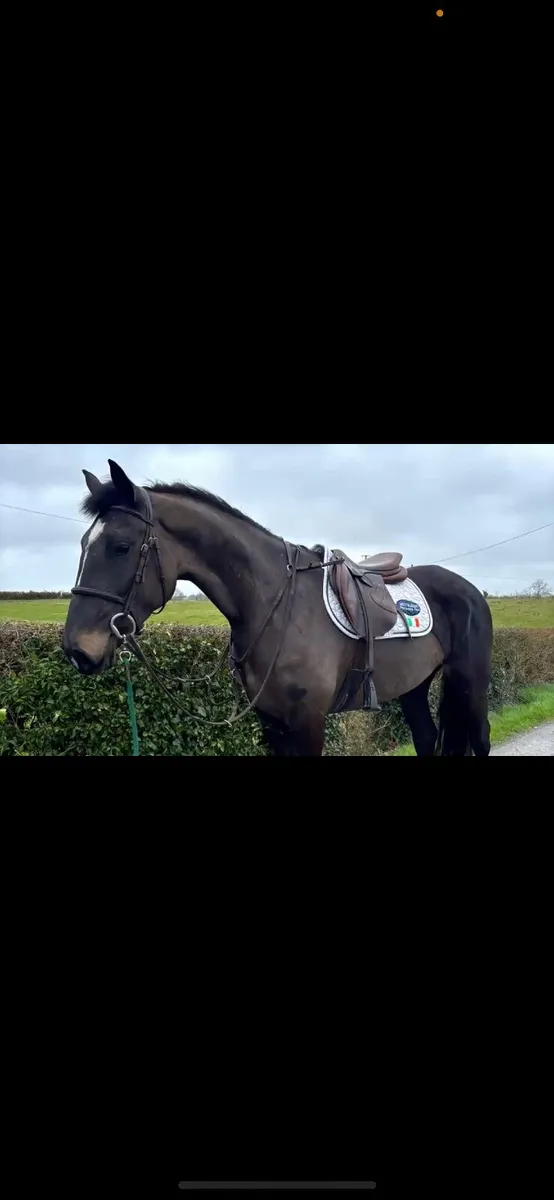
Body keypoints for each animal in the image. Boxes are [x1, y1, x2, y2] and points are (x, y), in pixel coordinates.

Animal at [62, 459, 493, 756]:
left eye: (121, 547)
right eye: (82, 544)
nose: (77, 650)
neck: (272, 603)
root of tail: (469, 589)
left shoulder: (308, 724)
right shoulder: (272, 724)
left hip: (471, 683)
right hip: (414, 687)